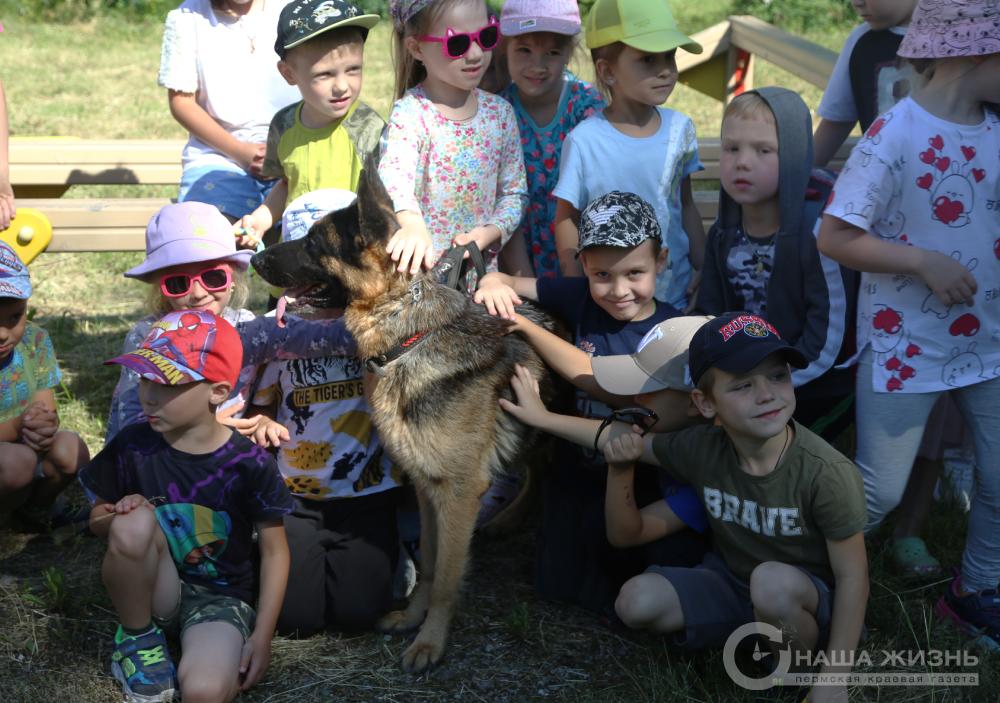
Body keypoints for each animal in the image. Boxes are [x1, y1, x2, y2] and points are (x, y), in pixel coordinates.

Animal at [250, 164, 560, 672]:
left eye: (314, 243)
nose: (254, 259)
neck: (408, 338)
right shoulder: (426, 487)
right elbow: (431, 563)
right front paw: (413, 619)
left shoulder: (458, 494)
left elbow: (449, 577)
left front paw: (430, 642)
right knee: (537, 469)